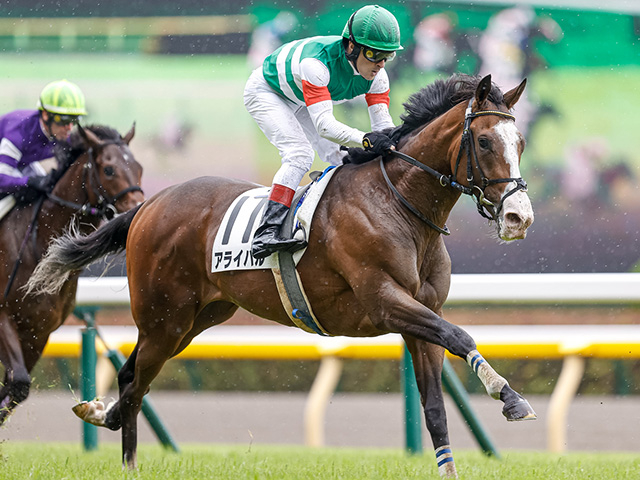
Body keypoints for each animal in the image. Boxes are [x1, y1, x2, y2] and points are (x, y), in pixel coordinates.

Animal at [0, 124, 144, 425]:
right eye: (109, 169)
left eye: (139, 168)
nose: (139, 209)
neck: (37, 243)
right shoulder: (3, 316)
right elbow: (18, 382)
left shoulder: (38, 331)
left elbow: (15, 387)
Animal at [26, 74, 535, 479]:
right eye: (484, 142)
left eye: (521, 143)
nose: (519, 217)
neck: (400, 205)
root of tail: (149, 204)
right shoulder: (385, 301)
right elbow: (460, 335)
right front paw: (509, 396)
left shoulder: (421, 315)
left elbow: (435, 406)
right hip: (163, 317)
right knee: (135, 385)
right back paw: (125, 454)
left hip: (194, 320)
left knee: (133, 374)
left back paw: (101, 414)